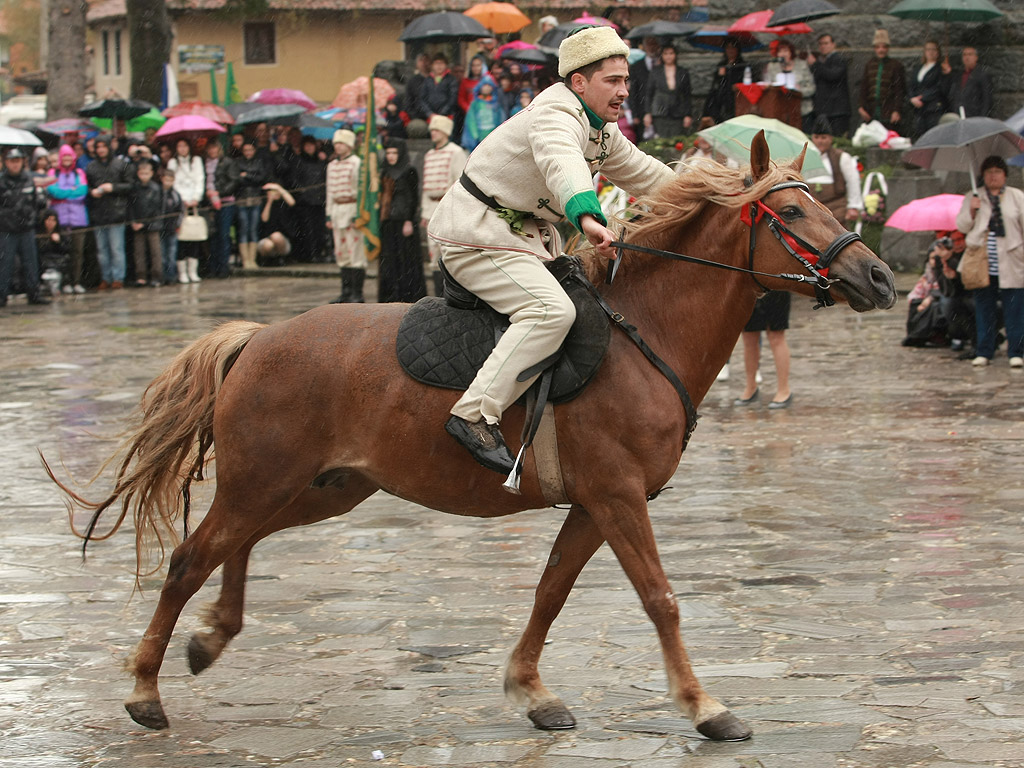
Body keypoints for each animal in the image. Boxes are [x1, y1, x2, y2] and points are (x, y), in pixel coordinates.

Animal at [46, 135, 897, 741]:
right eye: (791, 216)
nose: (881, 278)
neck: (644, 331)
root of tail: (258, 338)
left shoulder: (594, 505)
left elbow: (551, 592)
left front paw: (530, 689)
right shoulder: (618, 497)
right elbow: (659, 599)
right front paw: (703, 705)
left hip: (323, 488)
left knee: (238, 544)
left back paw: (213, 636)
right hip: (268, 480)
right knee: (192, 558)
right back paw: (146, 687)